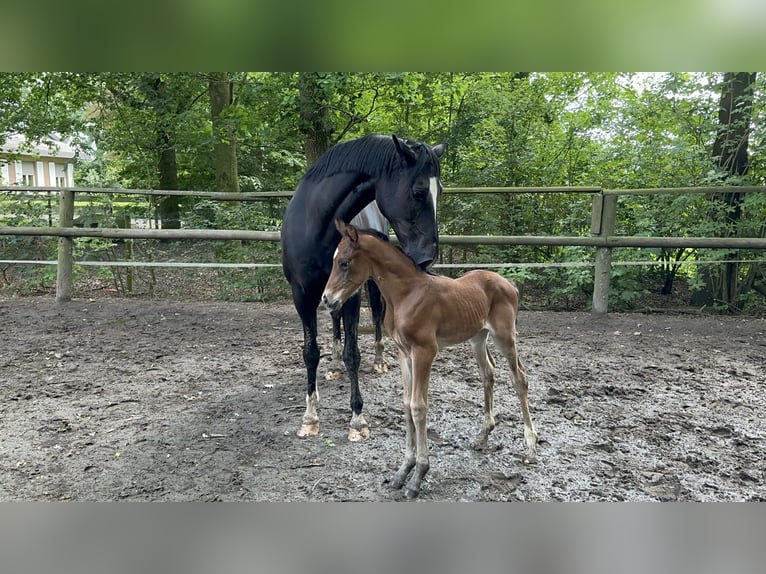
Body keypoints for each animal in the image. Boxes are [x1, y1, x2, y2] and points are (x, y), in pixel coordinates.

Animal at [282, 134, 448, 440]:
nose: (427, 257)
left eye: (439, 191)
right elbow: (311, 353)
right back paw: (333, 366)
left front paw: (357, 419)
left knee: (378, 317)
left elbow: (354, 354)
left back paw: (379, 360)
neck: (316, 226)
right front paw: (310, 417)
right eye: (419, 191)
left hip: (370, 287)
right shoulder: (303, 296)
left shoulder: (352, 295)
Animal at [320, 220, 536, 500]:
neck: (406, 295)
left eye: (344, 262)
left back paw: (530, 446)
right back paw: (483, 435)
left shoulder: (425, 351)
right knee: (488, 373)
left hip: (505, 336)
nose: (326, 299)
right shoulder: (404, 352)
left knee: (519, 378)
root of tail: (508, 282)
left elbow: (418, 406)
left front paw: (418, 474)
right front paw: (403, 470)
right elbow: (405, 404)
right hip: (478, 337)